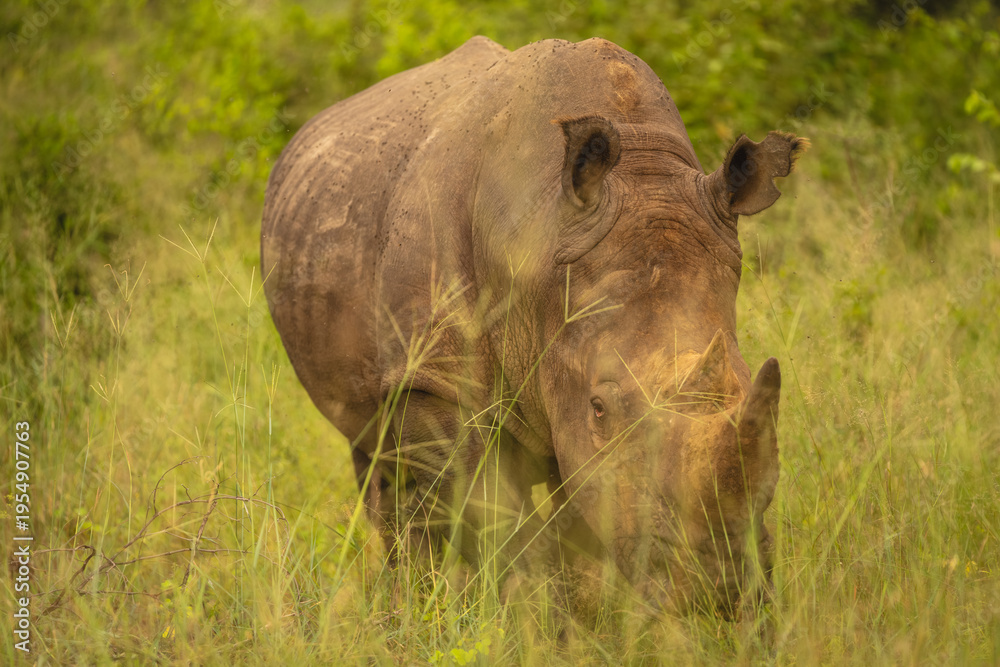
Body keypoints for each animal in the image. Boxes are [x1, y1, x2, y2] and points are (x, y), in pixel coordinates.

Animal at [261, 36, 805, 615]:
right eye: (599, 407)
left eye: (751, 388)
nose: (717, 589)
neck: (541, 236)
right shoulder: (431, 379)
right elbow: (496, 516)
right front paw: (524, 615)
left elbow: (575, 517)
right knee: (384, 465)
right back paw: (411, 606)